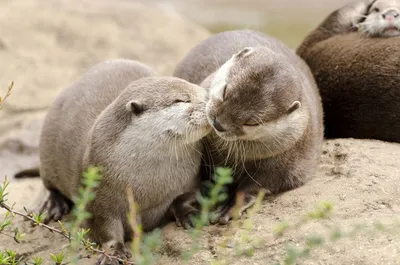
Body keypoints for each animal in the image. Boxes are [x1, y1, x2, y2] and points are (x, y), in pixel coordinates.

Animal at [33, 58, 211, 262]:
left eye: (202, 91)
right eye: (180, 100)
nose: (210, 104)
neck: (148, 186)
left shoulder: (191, 178)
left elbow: (186, 196)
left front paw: (189, 214)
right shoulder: (99, 198)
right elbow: (105, 227)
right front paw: (114, 252)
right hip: (47, 148)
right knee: (49, 185)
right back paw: (52, 206)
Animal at [173, 29, 324, 224]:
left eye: (251, 122)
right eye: (225, 91)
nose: (218, 123)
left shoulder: (285, 159)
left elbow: (258, 184)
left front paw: (230, 206)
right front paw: (186, 207)